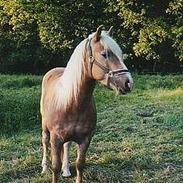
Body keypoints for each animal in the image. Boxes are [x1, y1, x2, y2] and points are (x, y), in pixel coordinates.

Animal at [40, 25, 133, 182]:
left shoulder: (85, 139)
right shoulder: (55, 139)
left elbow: (79, 165)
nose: (128, 83)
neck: (72, 103)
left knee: (67, 146)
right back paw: (44, 167)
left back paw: (66, 169)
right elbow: (55, 167)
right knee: (45, 142)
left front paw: (69, 169)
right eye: (104, 54)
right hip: (45, 127)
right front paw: (53, 169)